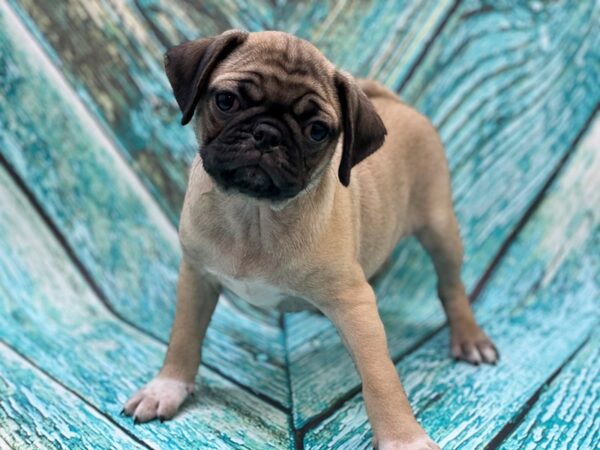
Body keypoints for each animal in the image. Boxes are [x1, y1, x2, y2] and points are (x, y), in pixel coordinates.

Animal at [122, 29, 496, 448]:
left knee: (451, 286)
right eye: (226, 101)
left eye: (317, 131)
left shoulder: (354, 303)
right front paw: (166, 388)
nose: (267, 133)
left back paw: (469, 337)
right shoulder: (197, 277)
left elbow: (381, 378)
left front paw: (404, 439)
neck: (254, 216)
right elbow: (183, 339)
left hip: (440, 228)